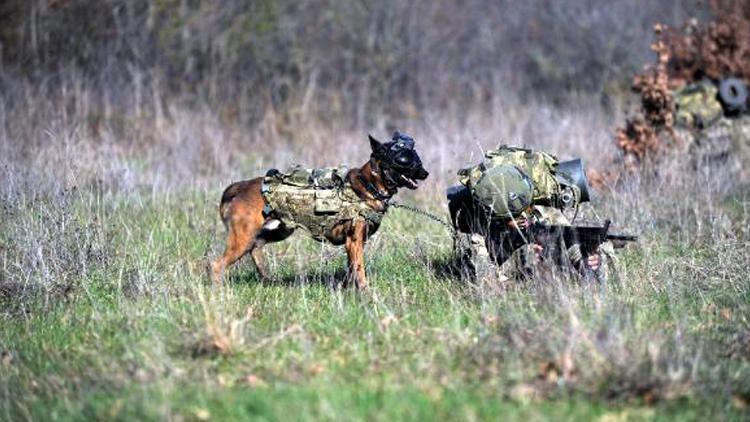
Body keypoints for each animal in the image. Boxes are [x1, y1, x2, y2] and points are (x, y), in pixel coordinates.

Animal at [212, 134, 428, 288]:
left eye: (418, 159)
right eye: (406, 160)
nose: (426, 173)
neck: (369, 185)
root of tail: (238, 187)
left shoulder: (353, 245)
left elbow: (351, 270)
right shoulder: (354, 242)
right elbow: (359, 271)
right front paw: (366, 294)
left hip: (273, 233)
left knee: (256, 252)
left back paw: (268, 281)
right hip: (243, 240)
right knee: (216, 265)